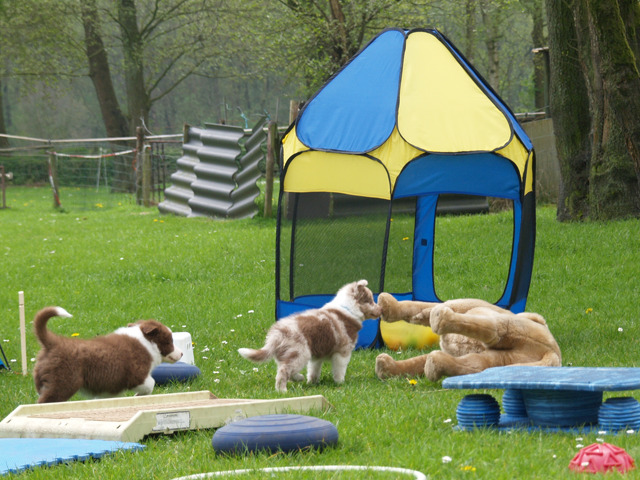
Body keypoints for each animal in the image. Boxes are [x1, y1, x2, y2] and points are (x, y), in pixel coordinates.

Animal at [33, 306, 183, 403]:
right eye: (169, 341)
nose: (181, 353)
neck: (145, 342)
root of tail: (53, 343)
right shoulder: (137, 375)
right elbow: (151, 383)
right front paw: (138, 395)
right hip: (63, 382)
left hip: (43, 380)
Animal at [238, 280, 382, 392]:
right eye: (370, 301)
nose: (380, 310)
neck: (347, 309)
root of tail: (277, 334)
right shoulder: (342, 352)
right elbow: (339, 370)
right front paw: (341, 383)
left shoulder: (317, 355)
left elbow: (313, 370)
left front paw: (312, 382)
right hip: (300, 352)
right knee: (283, 372)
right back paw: (282, 391)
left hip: (288, 355)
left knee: (286, 369)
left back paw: (298, 378)